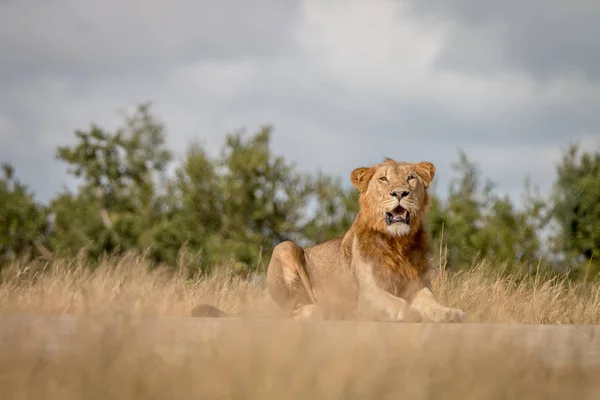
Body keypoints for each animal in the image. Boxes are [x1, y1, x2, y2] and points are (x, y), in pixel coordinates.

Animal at [192, 158, 464, 324]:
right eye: (383, 179)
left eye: (410, 178)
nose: (399, 193)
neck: (397, 243)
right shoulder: (368, 292)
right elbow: (397, 303)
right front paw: (411, 312)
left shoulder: (418, 286)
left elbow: (433, 304)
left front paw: (450, 313)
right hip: (285, 247)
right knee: (293, 310)